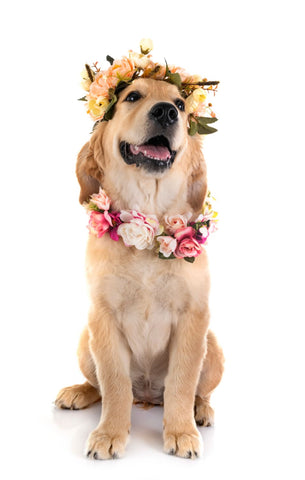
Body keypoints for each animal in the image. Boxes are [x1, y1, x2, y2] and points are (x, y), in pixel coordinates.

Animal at [55, 77, 223, 460]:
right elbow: (115, 384)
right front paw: (109, 434)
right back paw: (78, 392)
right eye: (133, 96)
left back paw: (200, 410)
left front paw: (181, 432)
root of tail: (147, 395)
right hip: (86, 341)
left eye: (181, 103)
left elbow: (181, 381)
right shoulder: (103, 317)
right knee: (100, 385)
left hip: (213, 347)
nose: (166, 112)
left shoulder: (194, 317)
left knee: (199, 390)